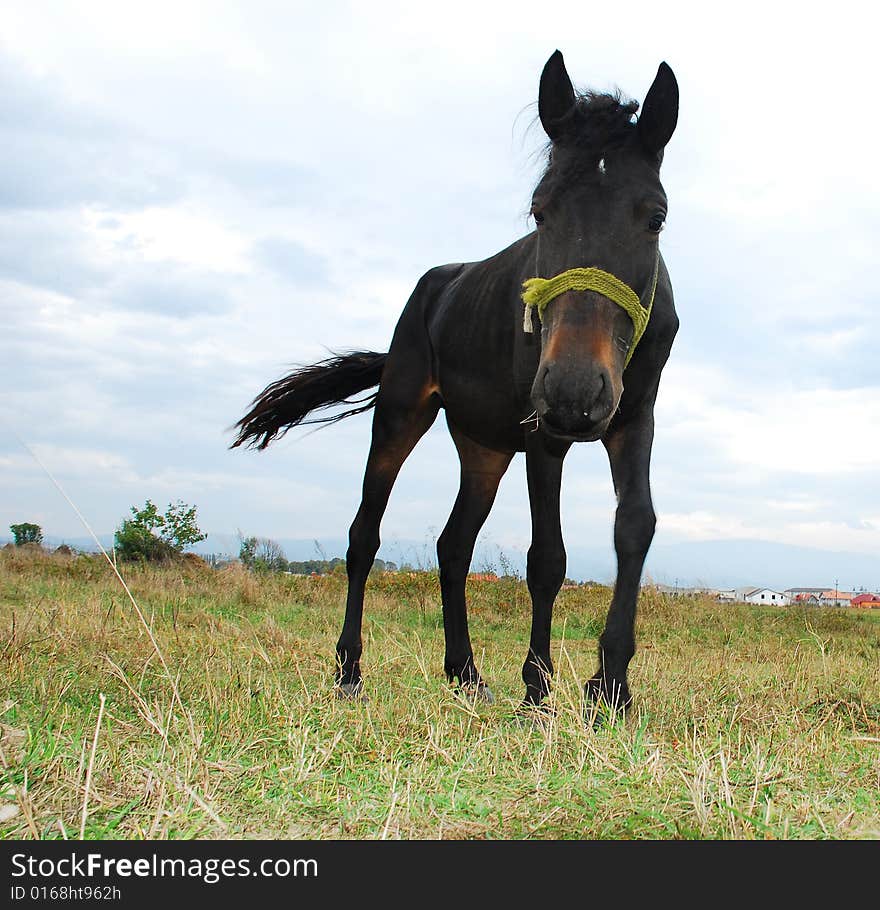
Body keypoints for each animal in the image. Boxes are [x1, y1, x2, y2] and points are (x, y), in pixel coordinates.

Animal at [230, 53, 676, 716]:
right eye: (540, 211)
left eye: (655, 218)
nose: (574, 392)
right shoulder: (543, 435)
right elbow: (547, 557)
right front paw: (538, 689)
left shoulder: (633, 419)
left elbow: (634, 528)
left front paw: (610, 687)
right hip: (399, 416)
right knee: (364, 538)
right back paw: (349, 670)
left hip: (485, 450)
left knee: (452, 546)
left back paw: (465, 672)